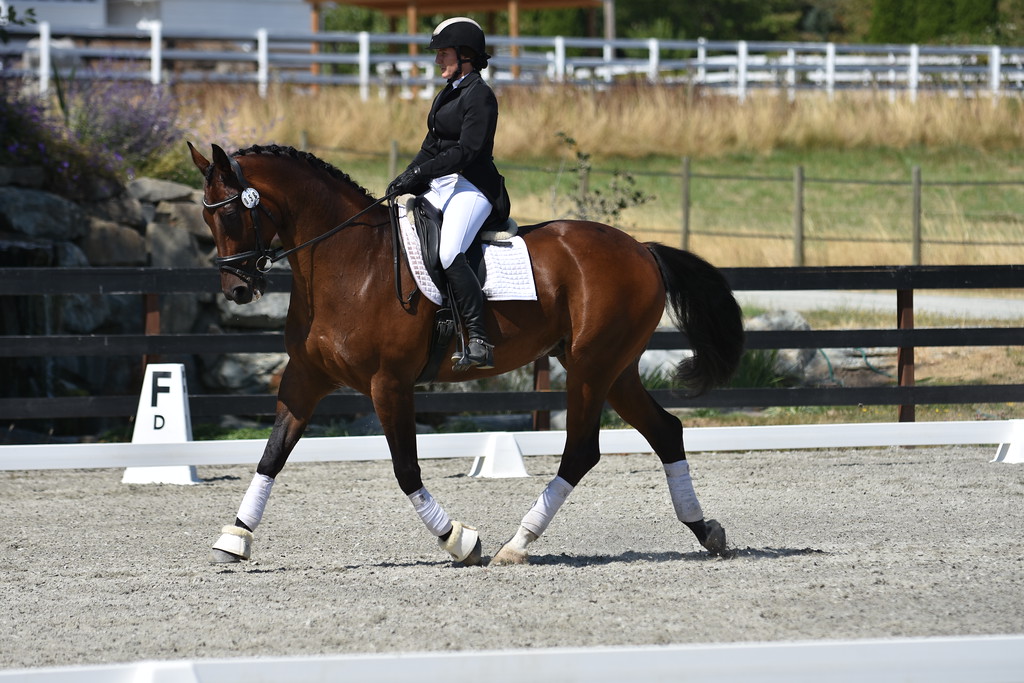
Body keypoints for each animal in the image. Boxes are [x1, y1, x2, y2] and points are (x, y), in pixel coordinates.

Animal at [187, 142, 744, 567]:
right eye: (205, 217)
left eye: (232, 211)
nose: (238, 290)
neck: (347, 264)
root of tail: (641, 249)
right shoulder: (305, 378)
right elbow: (271, 455)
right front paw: (234, 538)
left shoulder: (389, 384)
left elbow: (406, 469)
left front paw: (459, 540)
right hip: (614, 368)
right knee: (665, 431)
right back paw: (705, 530)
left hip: (591, 368)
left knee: (581, 451)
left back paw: (517, 544)